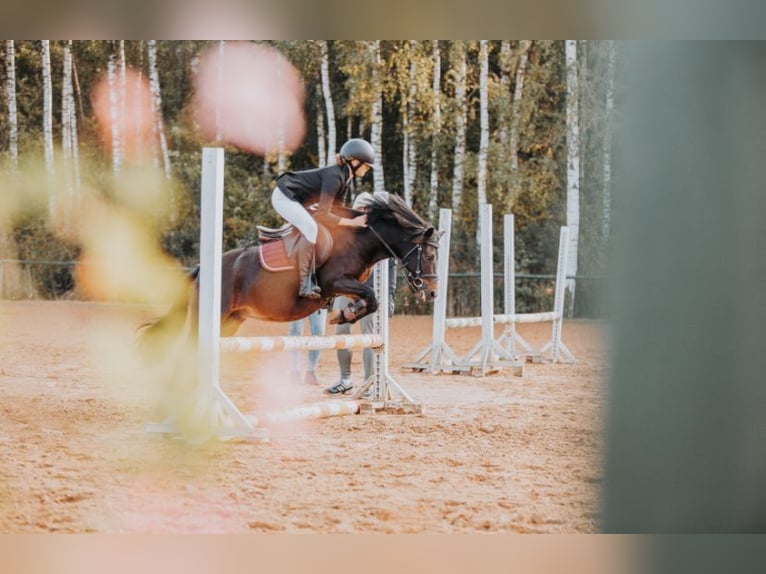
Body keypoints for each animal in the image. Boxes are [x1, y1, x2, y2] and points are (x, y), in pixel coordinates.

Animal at [135, 194, 440, 362]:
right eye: (428, 256)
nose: (433, 292)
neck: (359, 239)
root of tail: (202, 268)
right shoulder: (334, 282)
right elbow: (371, 296)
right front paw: (345, 315)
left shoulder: (345, 285)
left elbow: (370, 298)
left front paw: (346, 313)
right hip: (212, 315)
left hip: (232, 320)